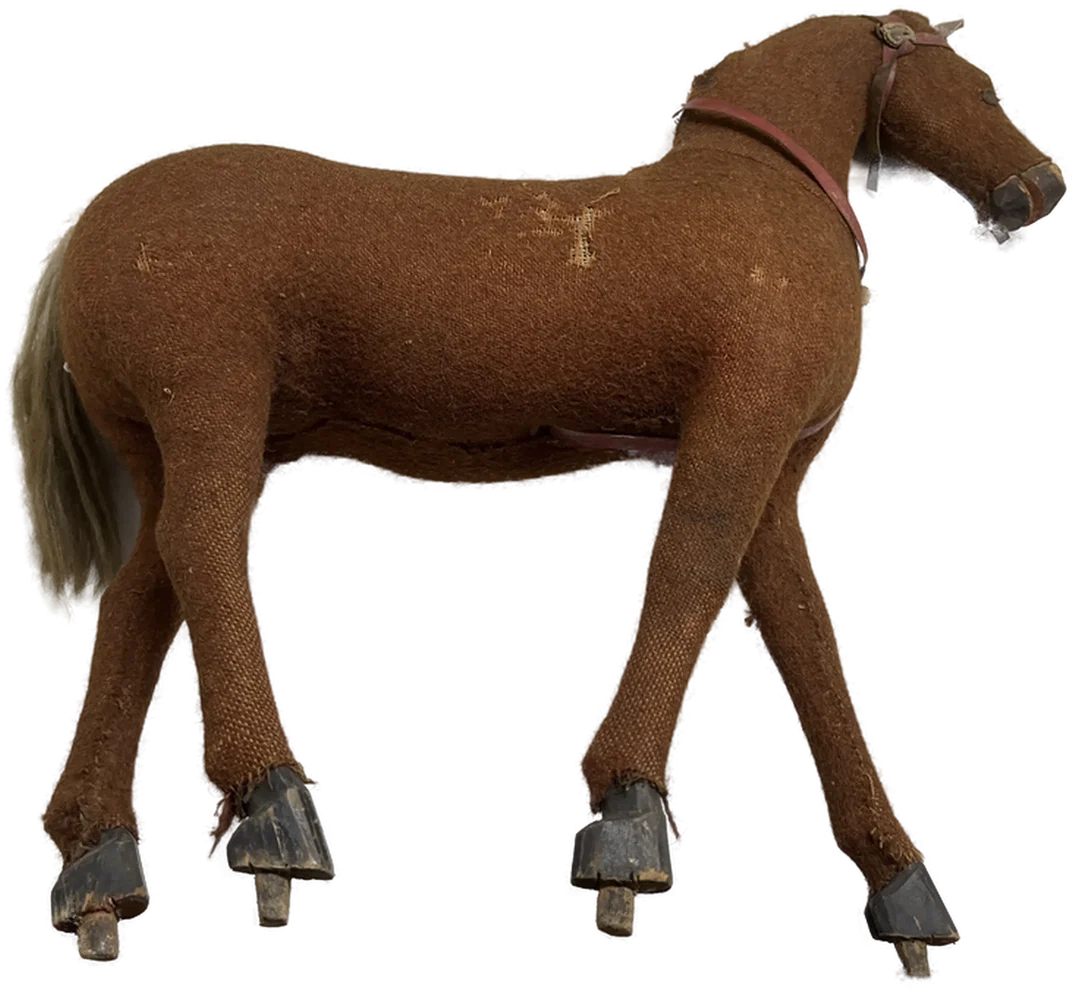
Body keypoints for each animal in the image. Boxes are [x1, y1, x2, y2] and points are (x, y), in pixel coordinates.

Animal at [8, 7, 1069, 982]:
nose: (1044, 189)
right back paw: (273, 814)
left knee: (142, 597)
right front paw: (625, 833)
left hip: (170, 439)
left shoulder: (775, 472)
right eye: (983, 87)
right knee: (201, 551)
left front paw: (906, 894)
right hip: (212, 405)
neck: (765, 195)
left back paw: (95, 871)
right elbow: (694, 565)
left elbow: (802, 634)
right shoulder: (740, 421)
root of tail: (95, 218)